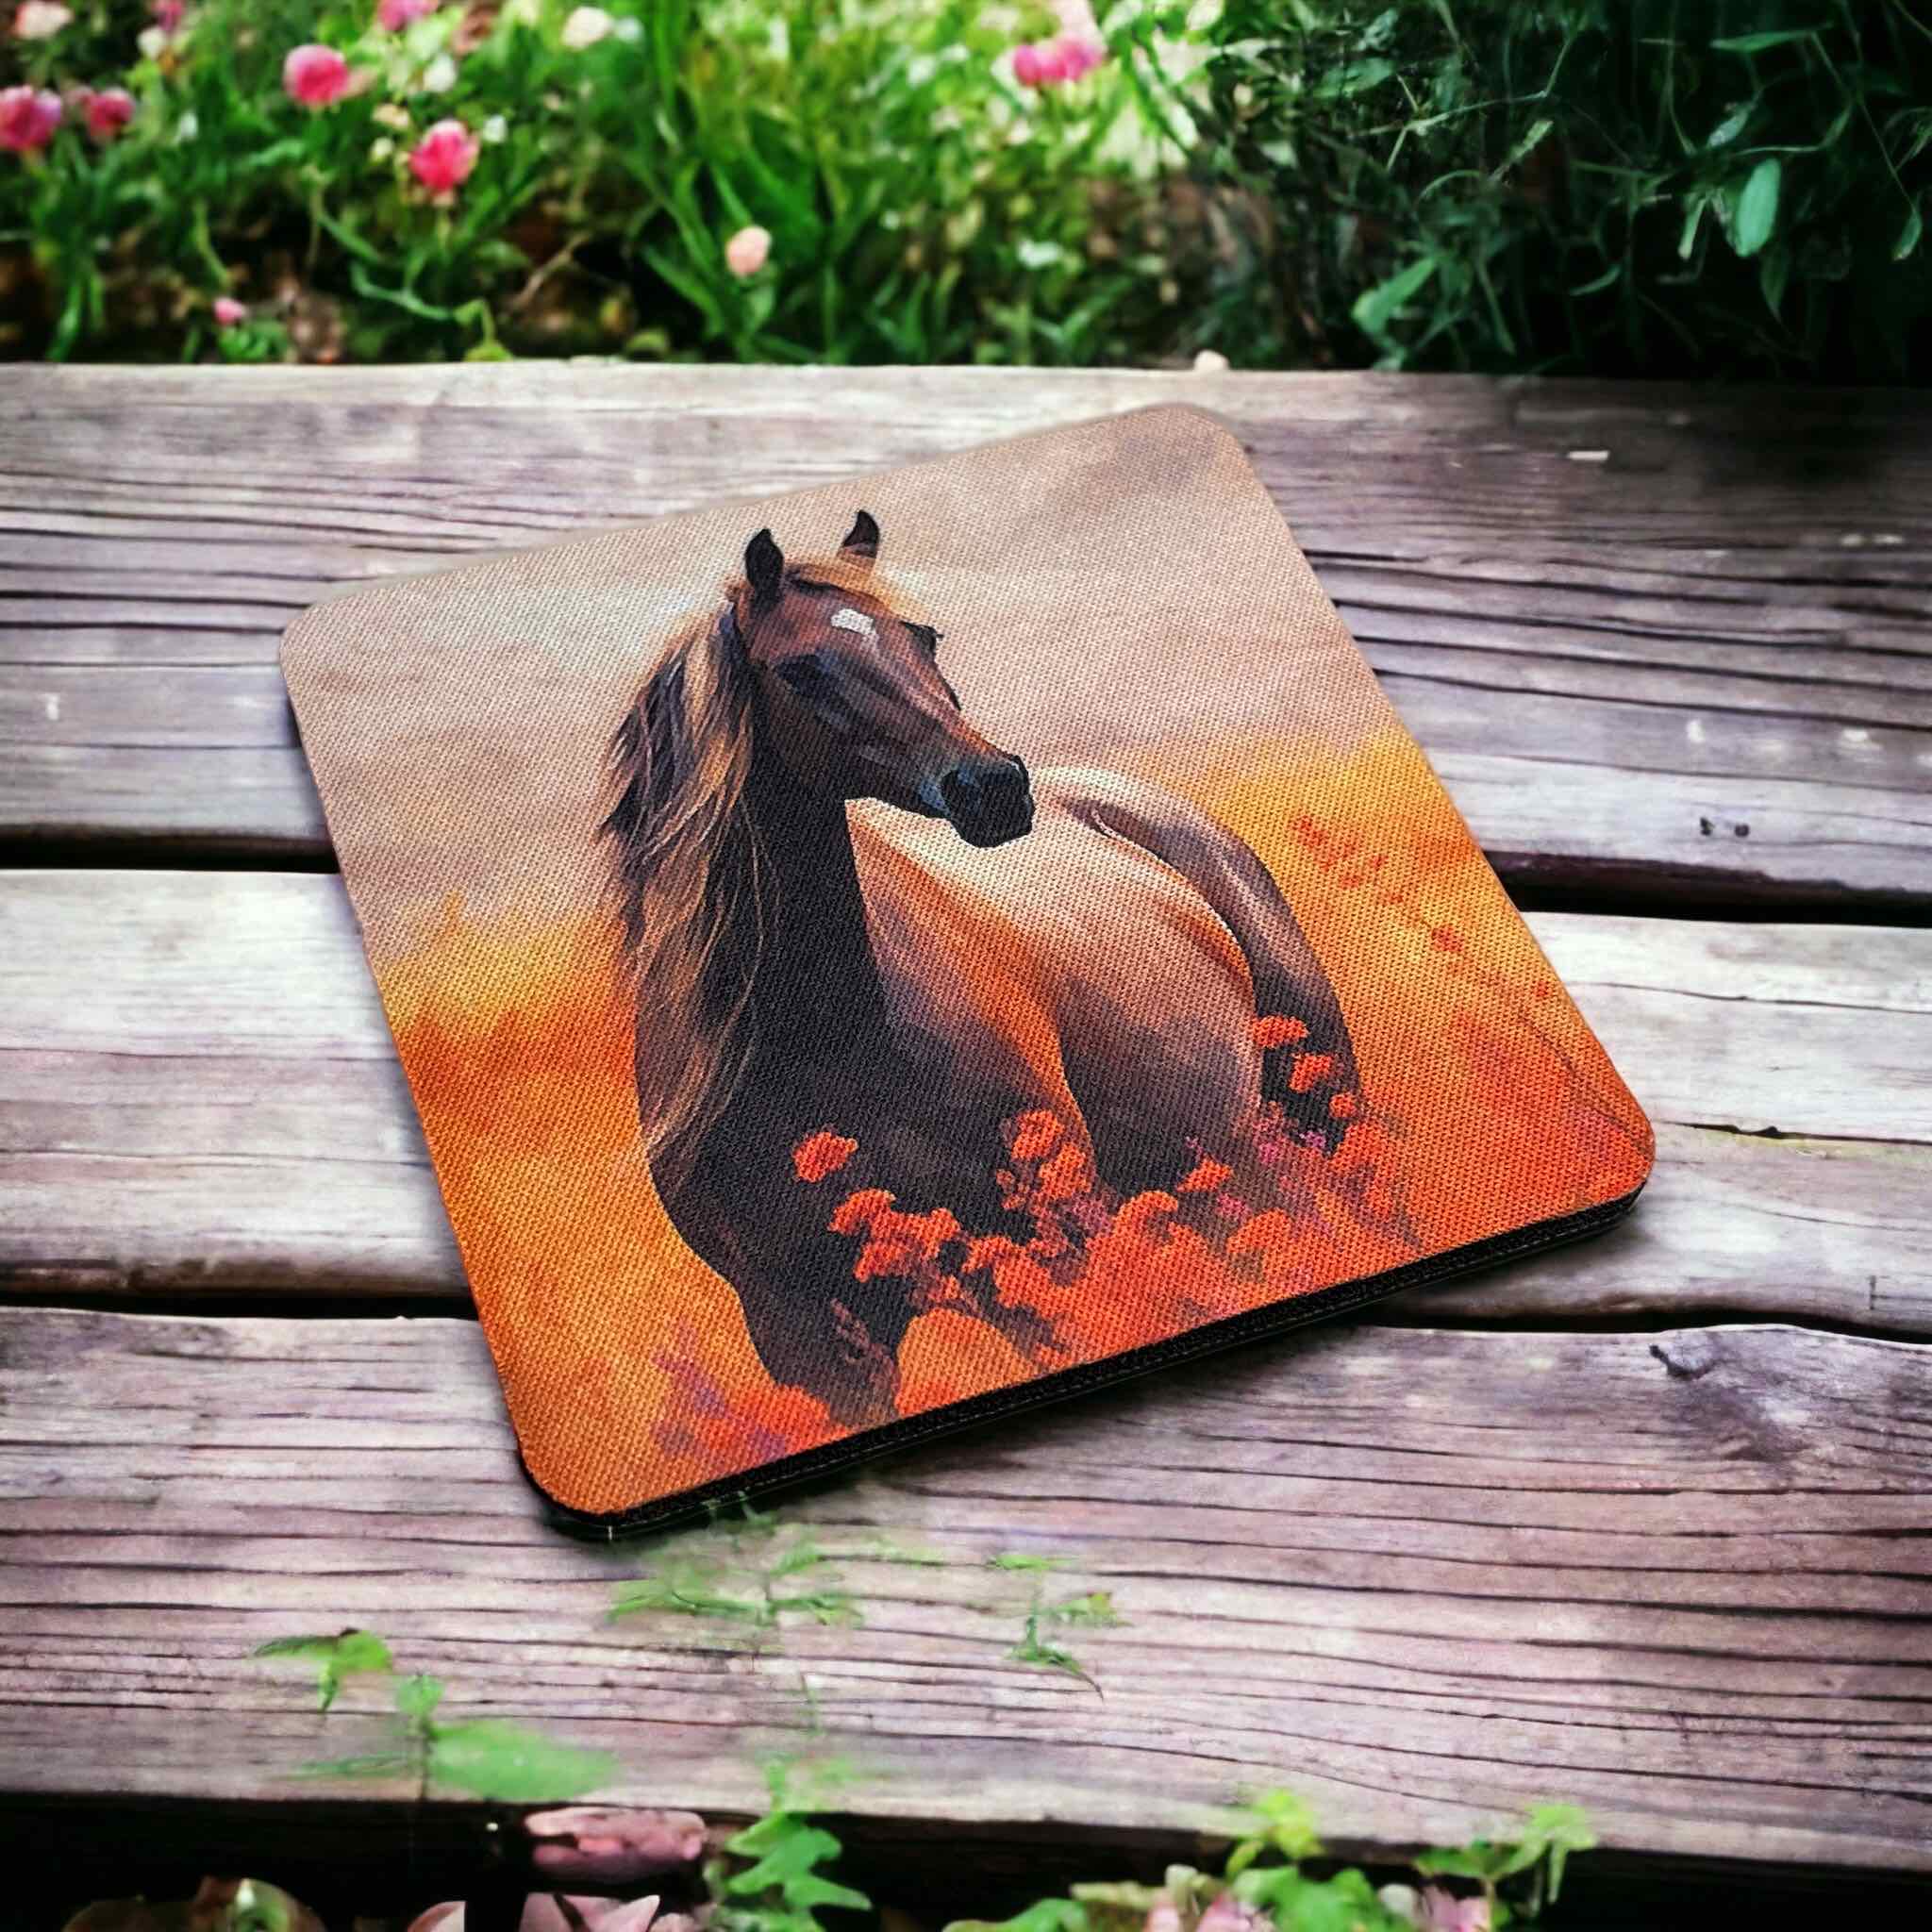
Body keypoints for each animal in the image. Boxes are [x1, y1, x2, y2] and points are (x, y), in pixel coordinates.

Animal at [602, 511, 1359, 1424]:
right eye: (801, 669)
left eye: (923, 637)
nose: (993, 787)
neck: (826, 1039)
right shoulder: (805, 1337)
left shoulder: (1045, 1256)